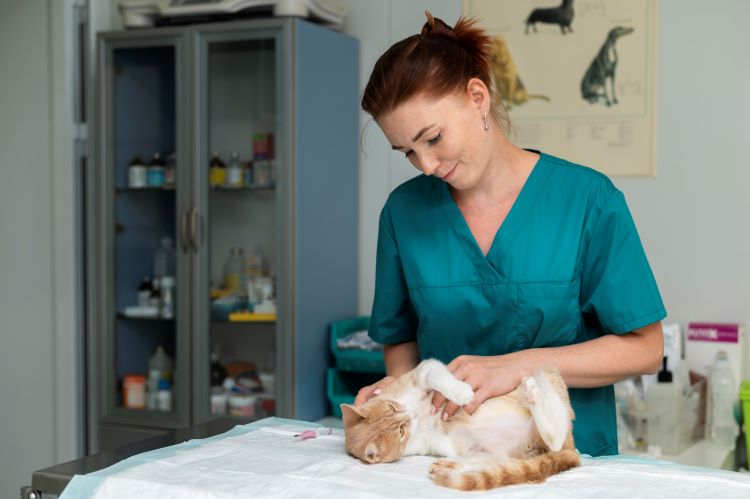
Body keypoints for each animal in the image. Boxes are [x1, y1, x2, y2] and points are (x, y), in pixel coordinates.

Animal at [342, 360, 580, 492]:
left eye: (392, 407)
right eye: (401, 431)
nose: (411, 414)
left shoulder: (424, 371)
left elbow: (437, 376)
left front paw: (461, 392)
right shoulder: (424, 443)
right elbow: (438, 441)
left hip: (547, 372)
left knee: (556, 436)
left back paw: (533, 391)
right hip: (499, 456)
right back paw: (448, 466)